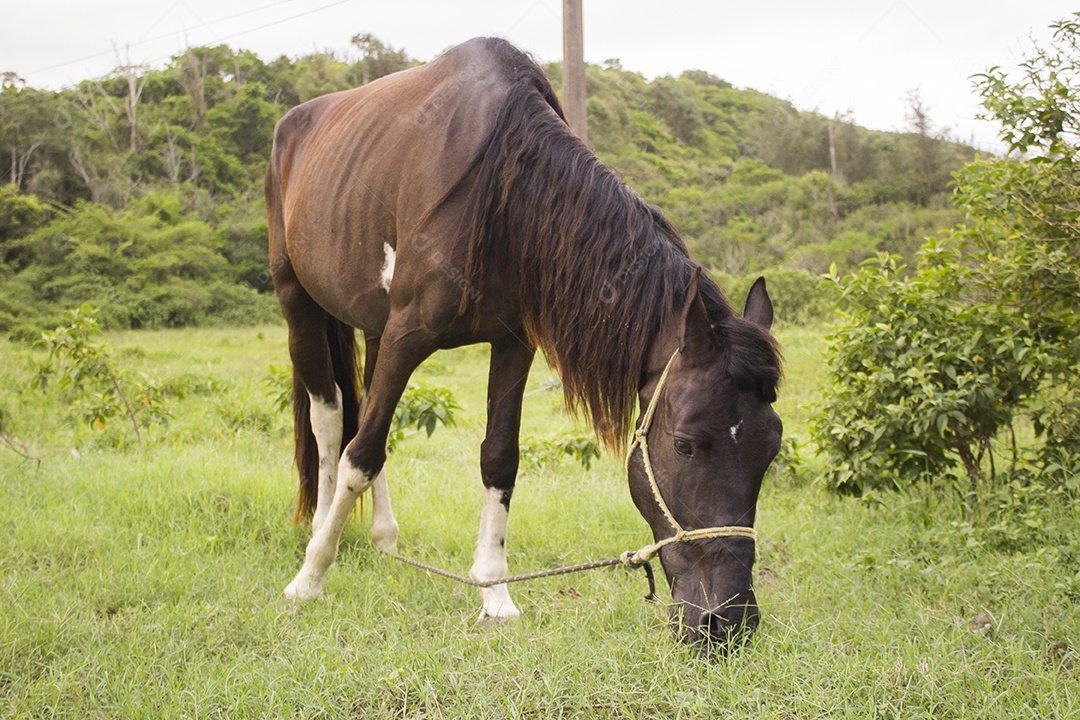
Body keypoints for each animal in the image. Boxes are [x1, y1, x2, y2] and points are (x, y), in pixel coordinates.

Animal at [264, 40, 781, 660]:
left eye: (772, 449)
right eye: (684, 445)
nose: (730, 622)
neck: (502, 190)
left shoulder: (511, 343)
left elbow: (498, 459)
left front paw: (495, 594)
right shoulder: (409, 333)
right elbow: (359, 456)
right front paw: (309, 578)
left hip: (372, 323)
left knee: (363, 413)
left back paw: (383, 537)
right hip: (299, 302)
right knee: (331, 420)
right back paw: (320, 531)